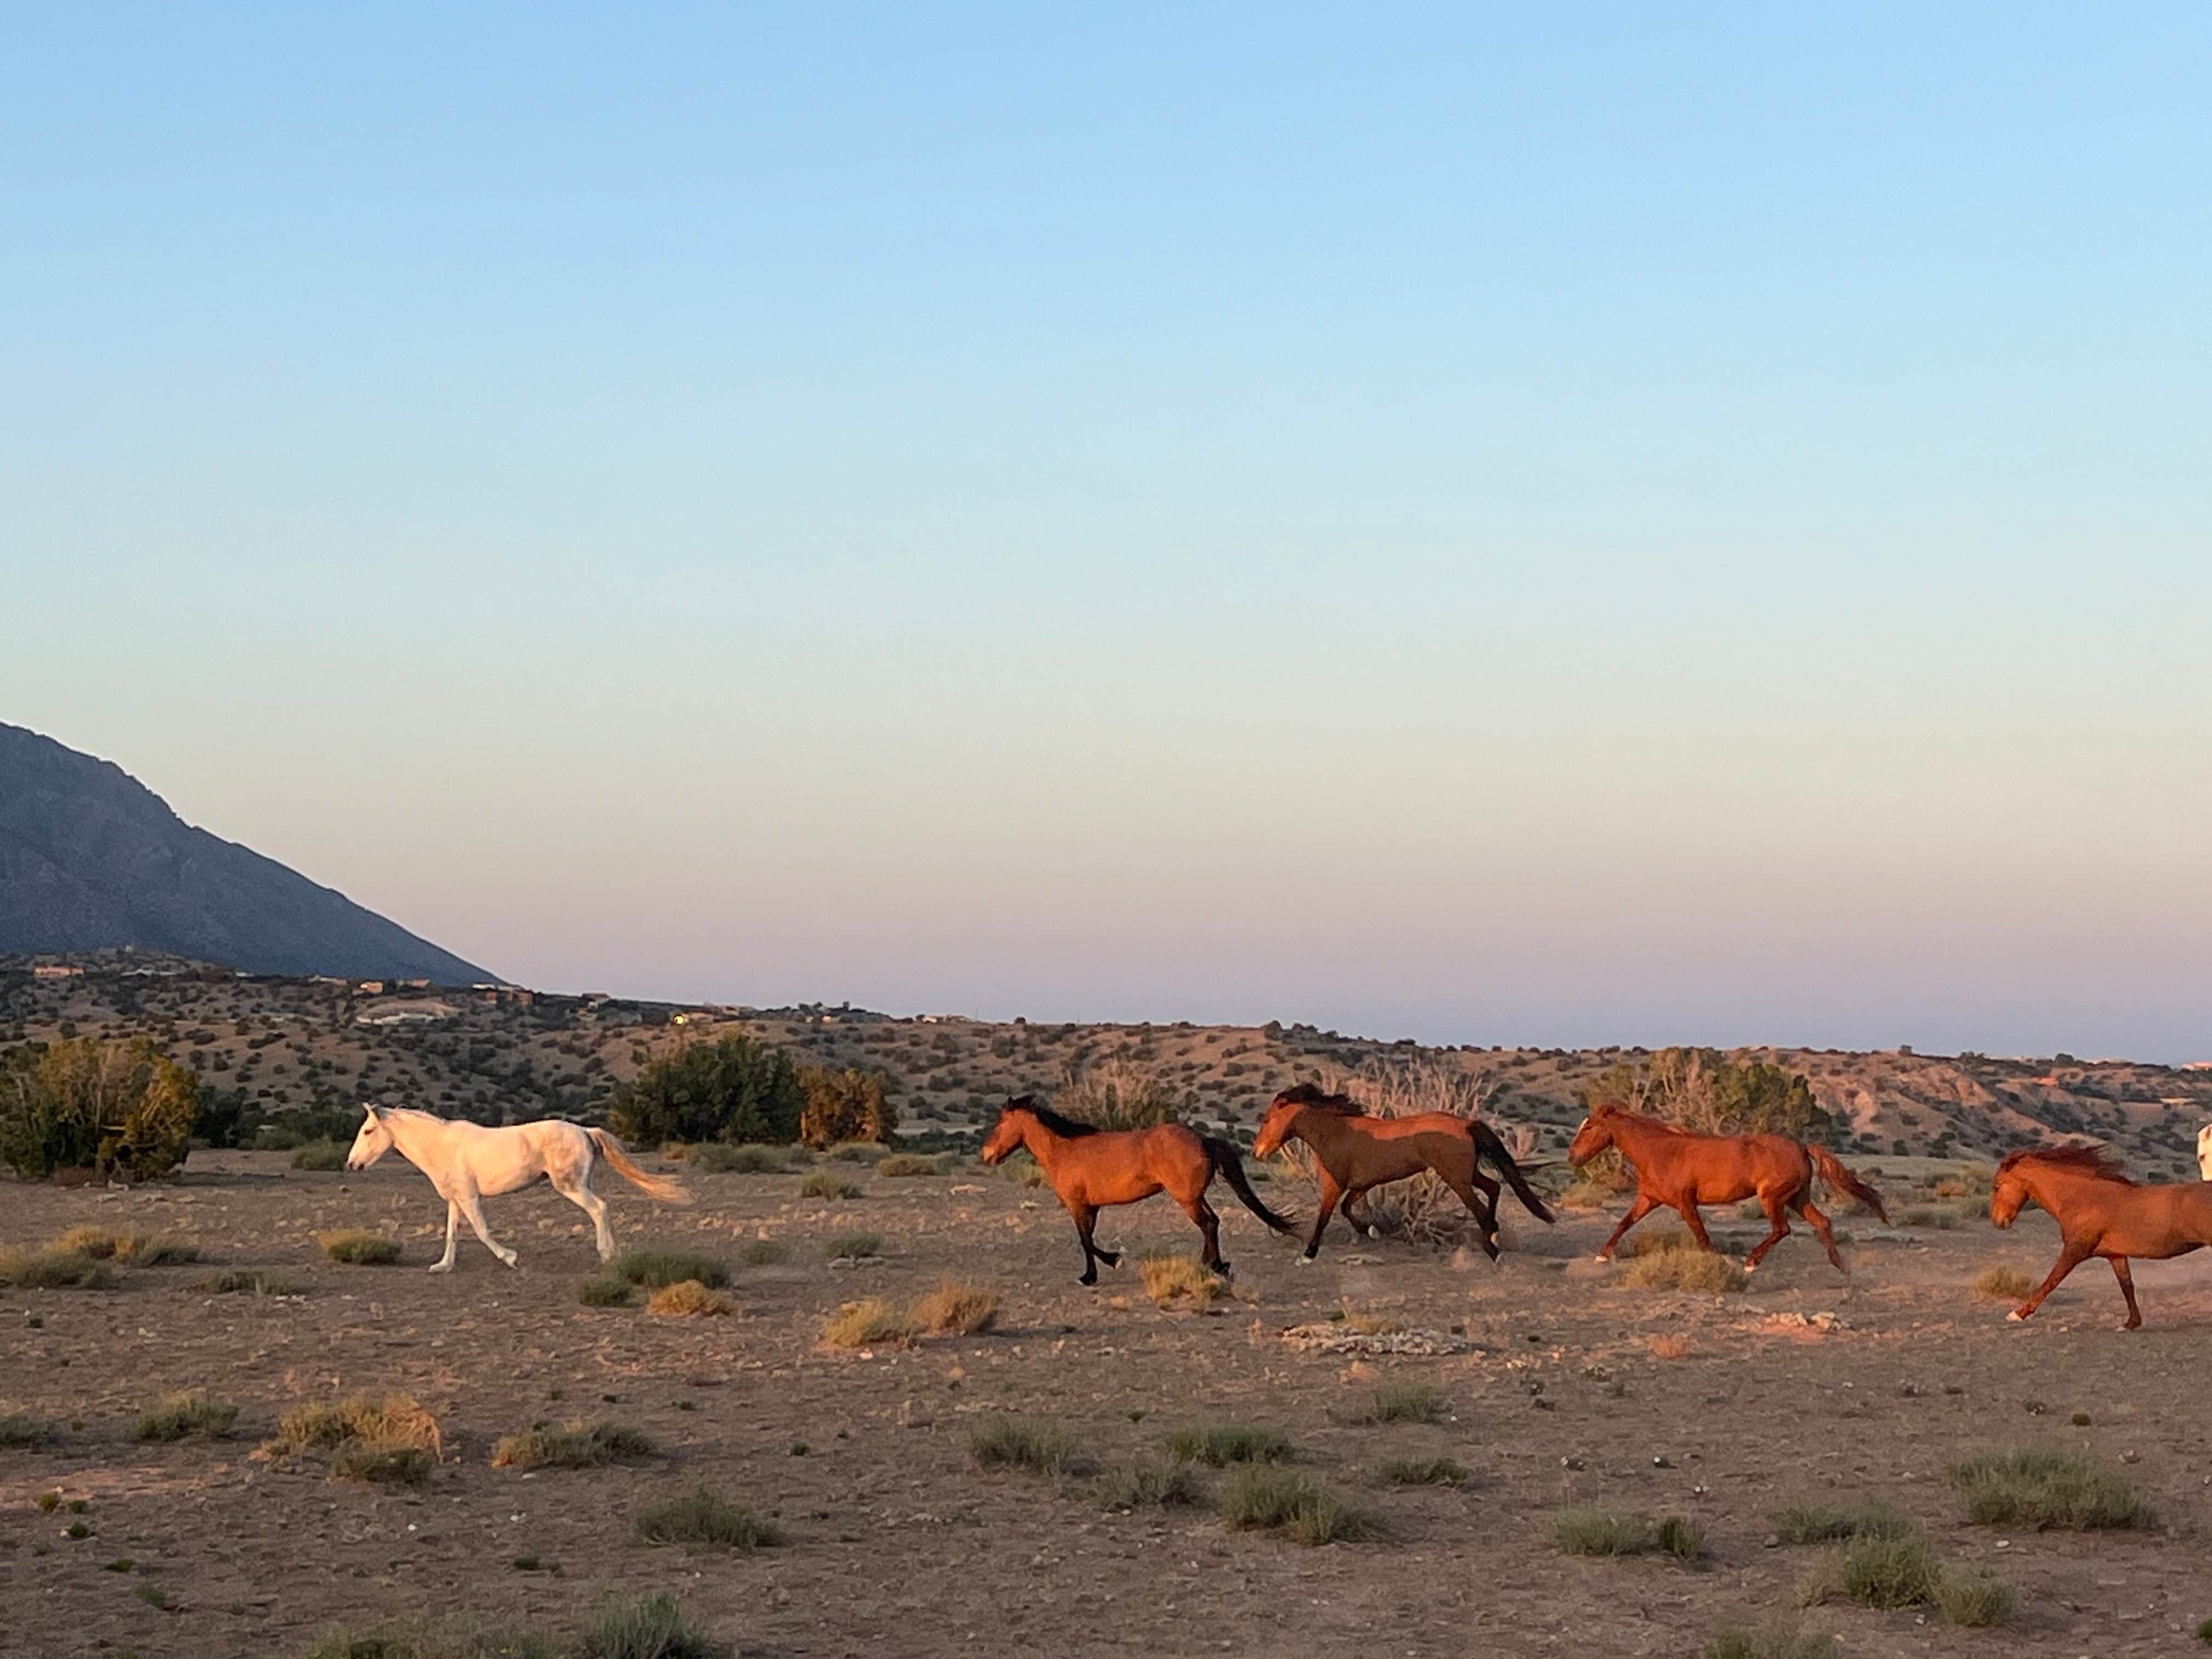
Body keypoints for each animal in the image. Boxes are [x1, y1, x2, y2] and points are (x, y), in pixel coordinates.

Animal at [344, 1103, 694, 1272]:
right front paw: (442, 1267)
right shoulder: (455, 1200)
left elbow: (482, 1231)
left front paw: (510, 1258)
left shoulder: (470, 1198)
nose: (351, 1165)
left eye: (369, 1131)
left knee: (600, 1209)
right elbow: (452, 1234)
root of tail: (585, 1131)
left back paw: (607, 1255)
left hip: (571, 1186)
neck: (442, 1146)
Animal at [979, 1096, 1295, 1283]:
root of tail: (1203, 1139)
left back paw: (1214, 1266)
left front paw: (1108, 1264)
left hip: (1187, 1199)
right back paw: (1213, 1264)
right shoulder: (1091, 1208)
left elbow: (1085, 1240)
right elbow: (1088, 1239)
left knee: (1207, 1224)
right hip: (1194, 1197)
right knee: (1214, 1222)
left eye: (1000, 1122)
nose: (987, 1154)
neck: (1065, 1150)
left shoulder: (1077, 1206)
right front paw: (1093, 1273)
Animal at [1252, 1082, 1556, 1263]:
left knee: (1480, 1208)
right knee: (1494, 1188)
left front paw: (1309, 1253)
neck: (1336, 1132)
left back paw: (1492, 1249)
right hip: (1467, 1174)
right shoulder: (1361, 1185)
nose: (1258, 1152)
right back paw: (1494, 1237)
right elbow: (1348, 1210)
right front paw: (1372, 1231)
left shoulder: (1334, 1185)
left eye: (1267, 1120)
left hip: (1456, 1178)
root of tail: (1466, 1124)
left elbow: (1324, 1217)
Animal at [1566, 1102, 1887, 1272]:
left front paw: (1718, 1262)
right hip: (1798, 1198)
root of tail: (1802, 1147)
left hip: (1773, 1199)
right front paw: (1603, 1254)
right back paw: (1840, 1266)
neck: (1659, 1150)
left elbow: (1702, 1235)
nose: (1572, 1157)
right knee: (1822, 1222)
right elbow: (1624, 1223)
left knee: (1782, 1229)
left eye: (1589, 1127)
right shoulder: (1648, 1199)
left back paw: (1751, 1262)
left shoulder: (1685, 1204)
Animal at [1991, 1143, 2212, 1330]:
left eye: (1997, 1186)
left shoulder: (2075, 1251)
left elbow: (2051, 1281)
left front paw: (2017, 1314)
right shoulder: (2116, 1255)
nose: (1998, 1222)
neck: (2083, 1198)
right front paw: (2131, 1323)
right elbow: (2127, 1286)